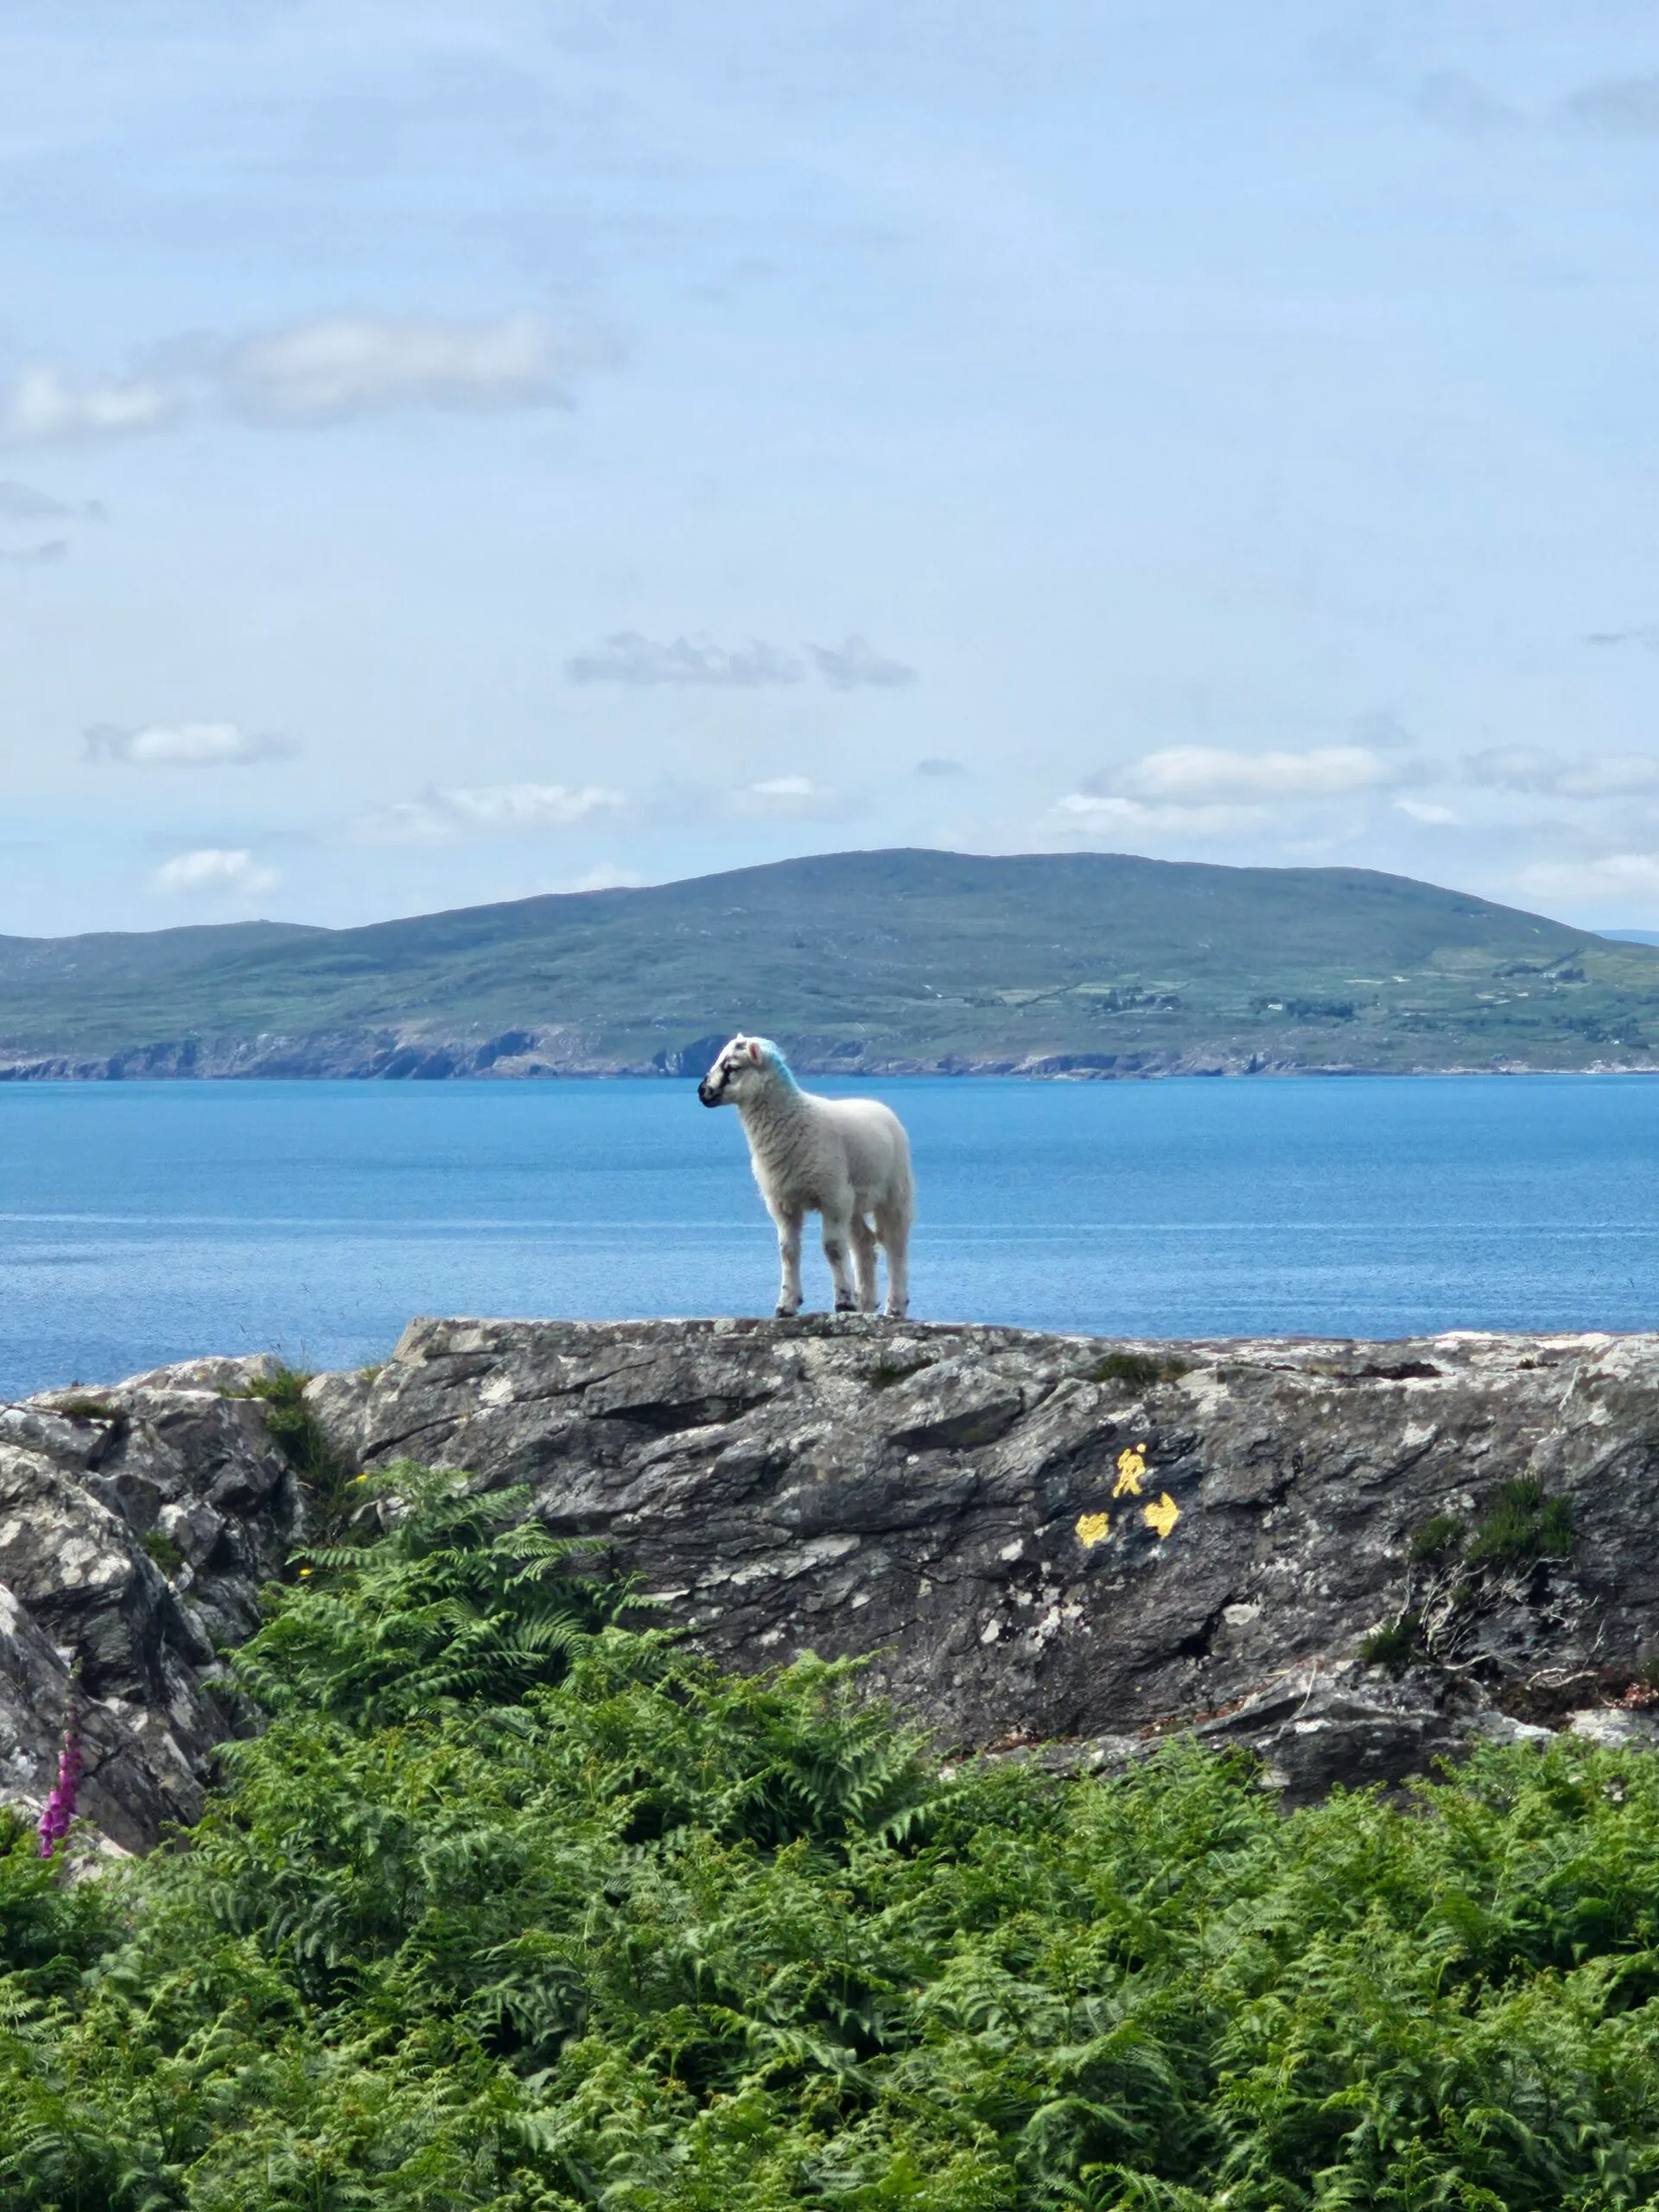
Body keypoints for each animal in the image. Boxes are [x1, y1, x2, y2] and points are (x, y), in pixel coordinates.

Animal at [698, 1035, 912, 1317]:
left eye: (732, 1067)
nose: (701, 1091)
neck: (794, 1118)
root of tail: (875, 1103)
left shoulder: (832, 1196)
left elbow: (833, 1248)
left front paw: (843, 1302)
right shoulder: (782, 1202)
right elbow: (788, 1251)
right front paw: (786, 1304)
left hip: (894, 1193)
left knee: (895, 1244)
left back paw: (895, 1306)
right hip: (853, 1201)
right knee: (864, 1243)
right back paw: (865, 1306)